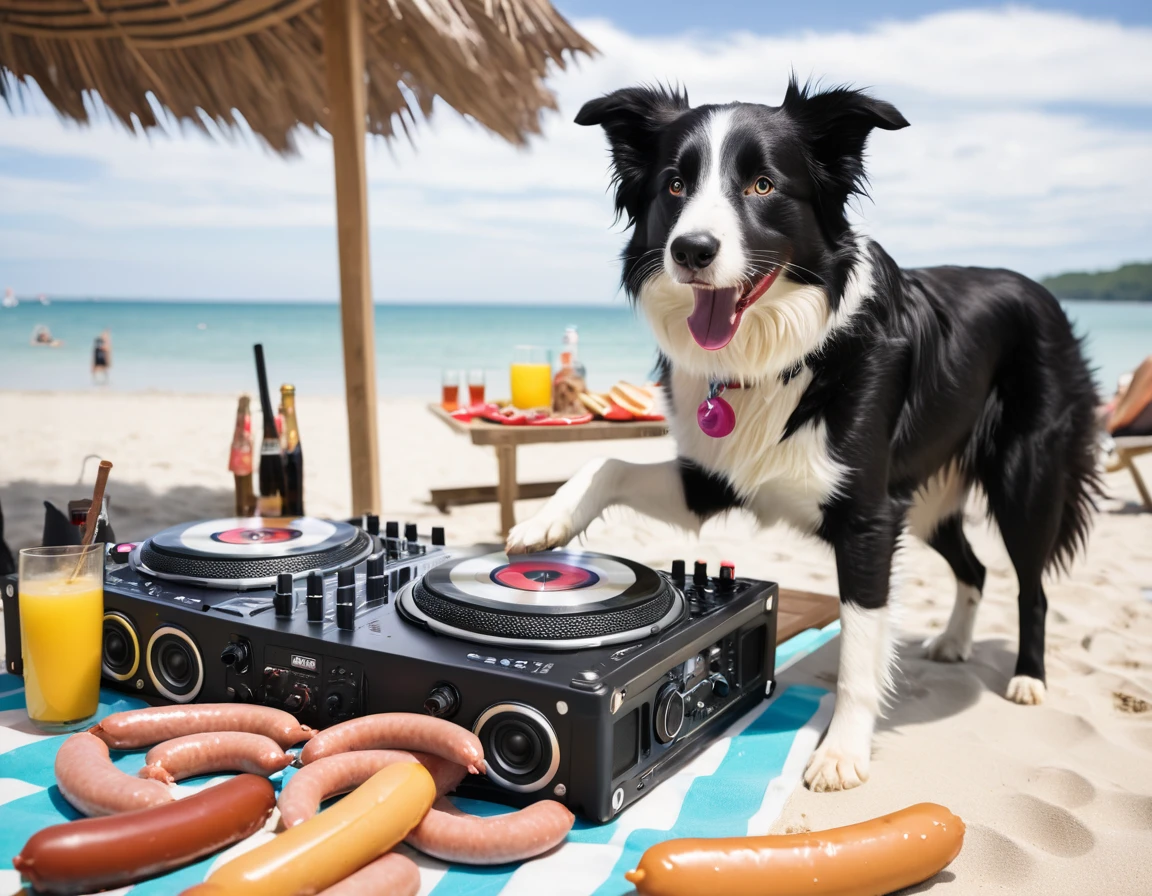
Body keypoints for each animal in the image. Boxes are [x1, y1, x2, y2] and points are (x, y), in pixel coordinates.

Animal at [509, 78, 1101, 787]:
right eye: (675, 185)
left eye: (763, 185)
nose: (691, 250)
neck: (777, 354)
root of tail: (1039, 290)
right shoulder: (715, 480)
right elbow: (608, 465)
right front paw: (546, 522)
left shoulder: (870, 518)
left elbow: (857, 650)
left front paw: (842, 752)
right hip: (929, 500)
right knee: (976, 568)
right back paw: (954, 642)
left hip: (1024, 481)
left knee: (1032, 586)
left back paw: (1028, 678)